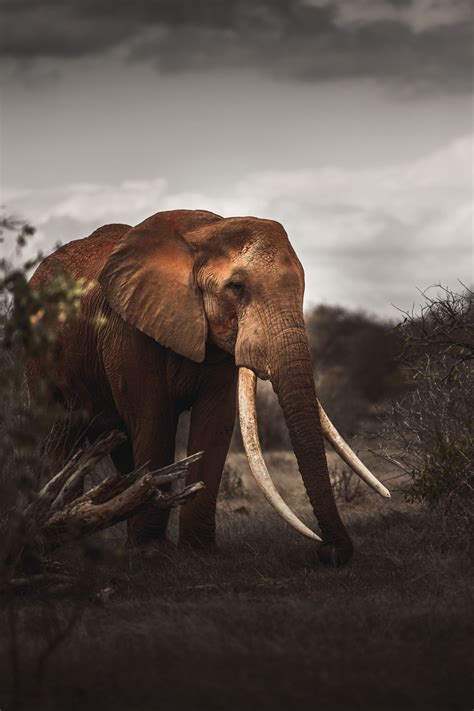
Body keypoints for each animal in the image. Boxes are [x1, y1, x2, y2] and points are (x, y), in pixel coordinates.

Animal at [26, 209, 389, 566]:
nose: (330, 552)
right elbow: (154, 421)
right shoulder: (127, 331)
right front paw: (151, 553)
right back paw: (67, 545)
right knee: (62, 438)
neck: (206, 230)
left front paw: (197, 551)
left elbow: (215, 422)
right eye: (236, 287)